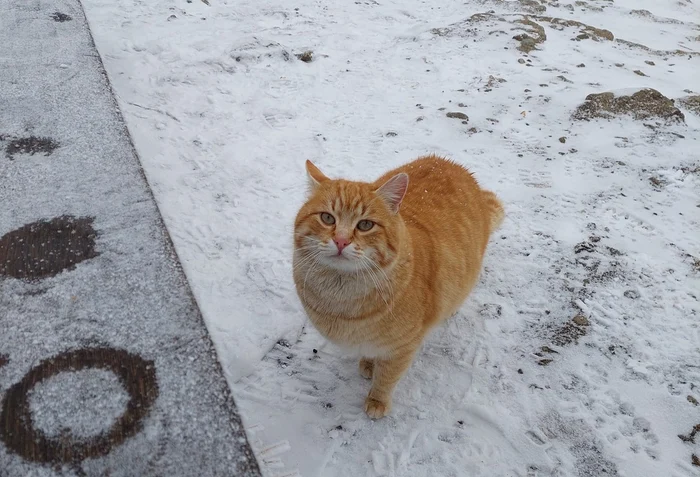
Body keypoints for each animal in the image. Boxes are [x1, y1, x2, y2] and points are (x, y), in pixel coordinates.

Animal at [292, 155, 504, 416]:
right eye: (327, 218)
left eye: (365, 225)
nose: (341, 241)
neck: (341, 298)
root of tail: (455, 165)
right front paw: (368, 362)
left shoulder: (403, 347)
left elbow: (387, 377)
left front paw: (377, 400)